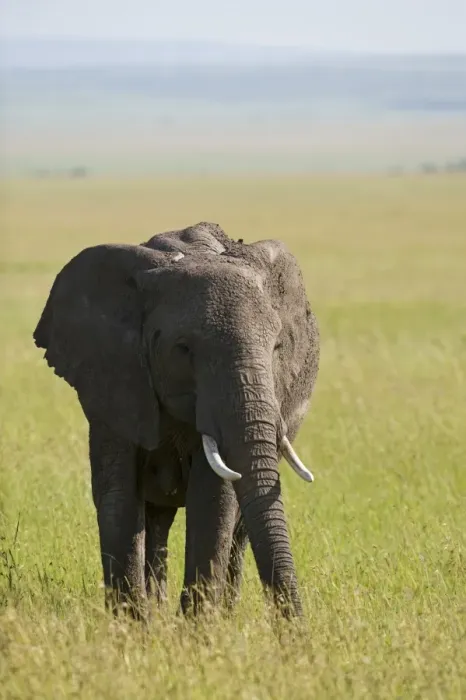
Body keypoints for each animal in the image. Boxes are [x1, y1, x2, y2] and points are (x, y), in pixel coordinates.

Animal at [33, 221, 319, 619]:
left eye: (278, 348)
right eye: (183, 349)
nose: (295, 631)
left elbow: (213, 498)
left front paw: (197, 628)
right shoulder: (112, 375)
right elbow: (118, 495)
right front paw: (131, 625)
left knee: (238, 527)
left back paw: (223, 613)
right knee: (157, 518)